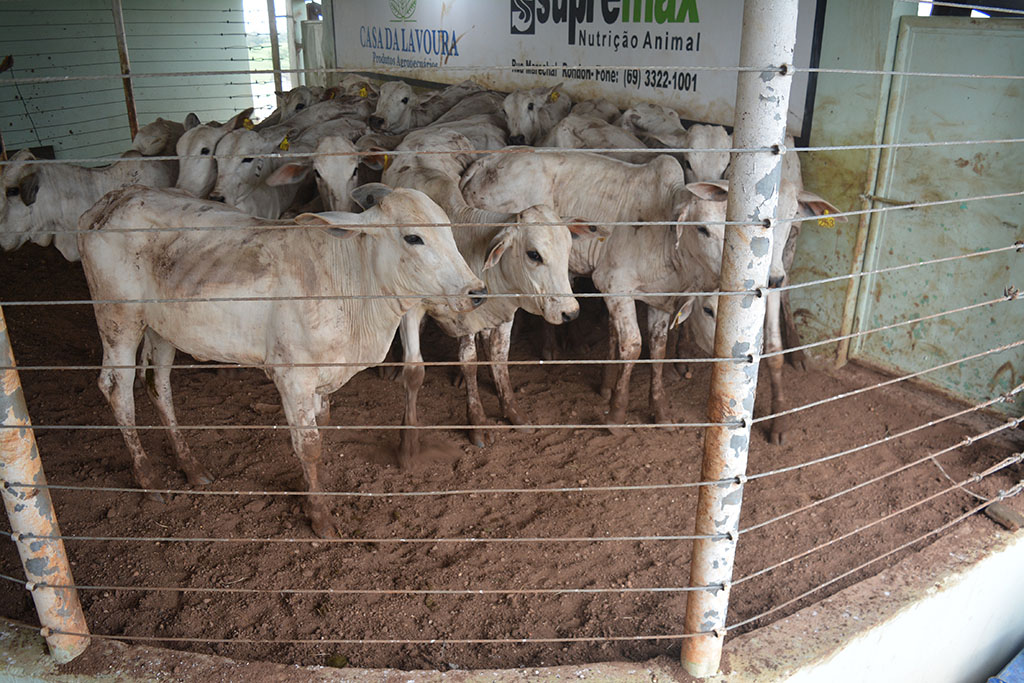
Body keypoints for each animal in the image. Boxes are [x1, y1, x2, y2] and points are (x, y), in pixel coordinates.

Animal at [77, 184, 486, 537]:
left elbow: (322, 427)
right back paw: (149, 479)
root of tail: (112, 199)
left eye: (449, 230)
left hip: (161, 330)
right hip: (118, 319)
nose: (477, 291)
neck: (351, 283)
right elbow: (309, 445)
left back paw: (191, 467)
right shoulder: (293, 378)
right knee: (116, 389)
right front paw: (320, 517)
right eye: (413, 237)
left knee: (157, 385)